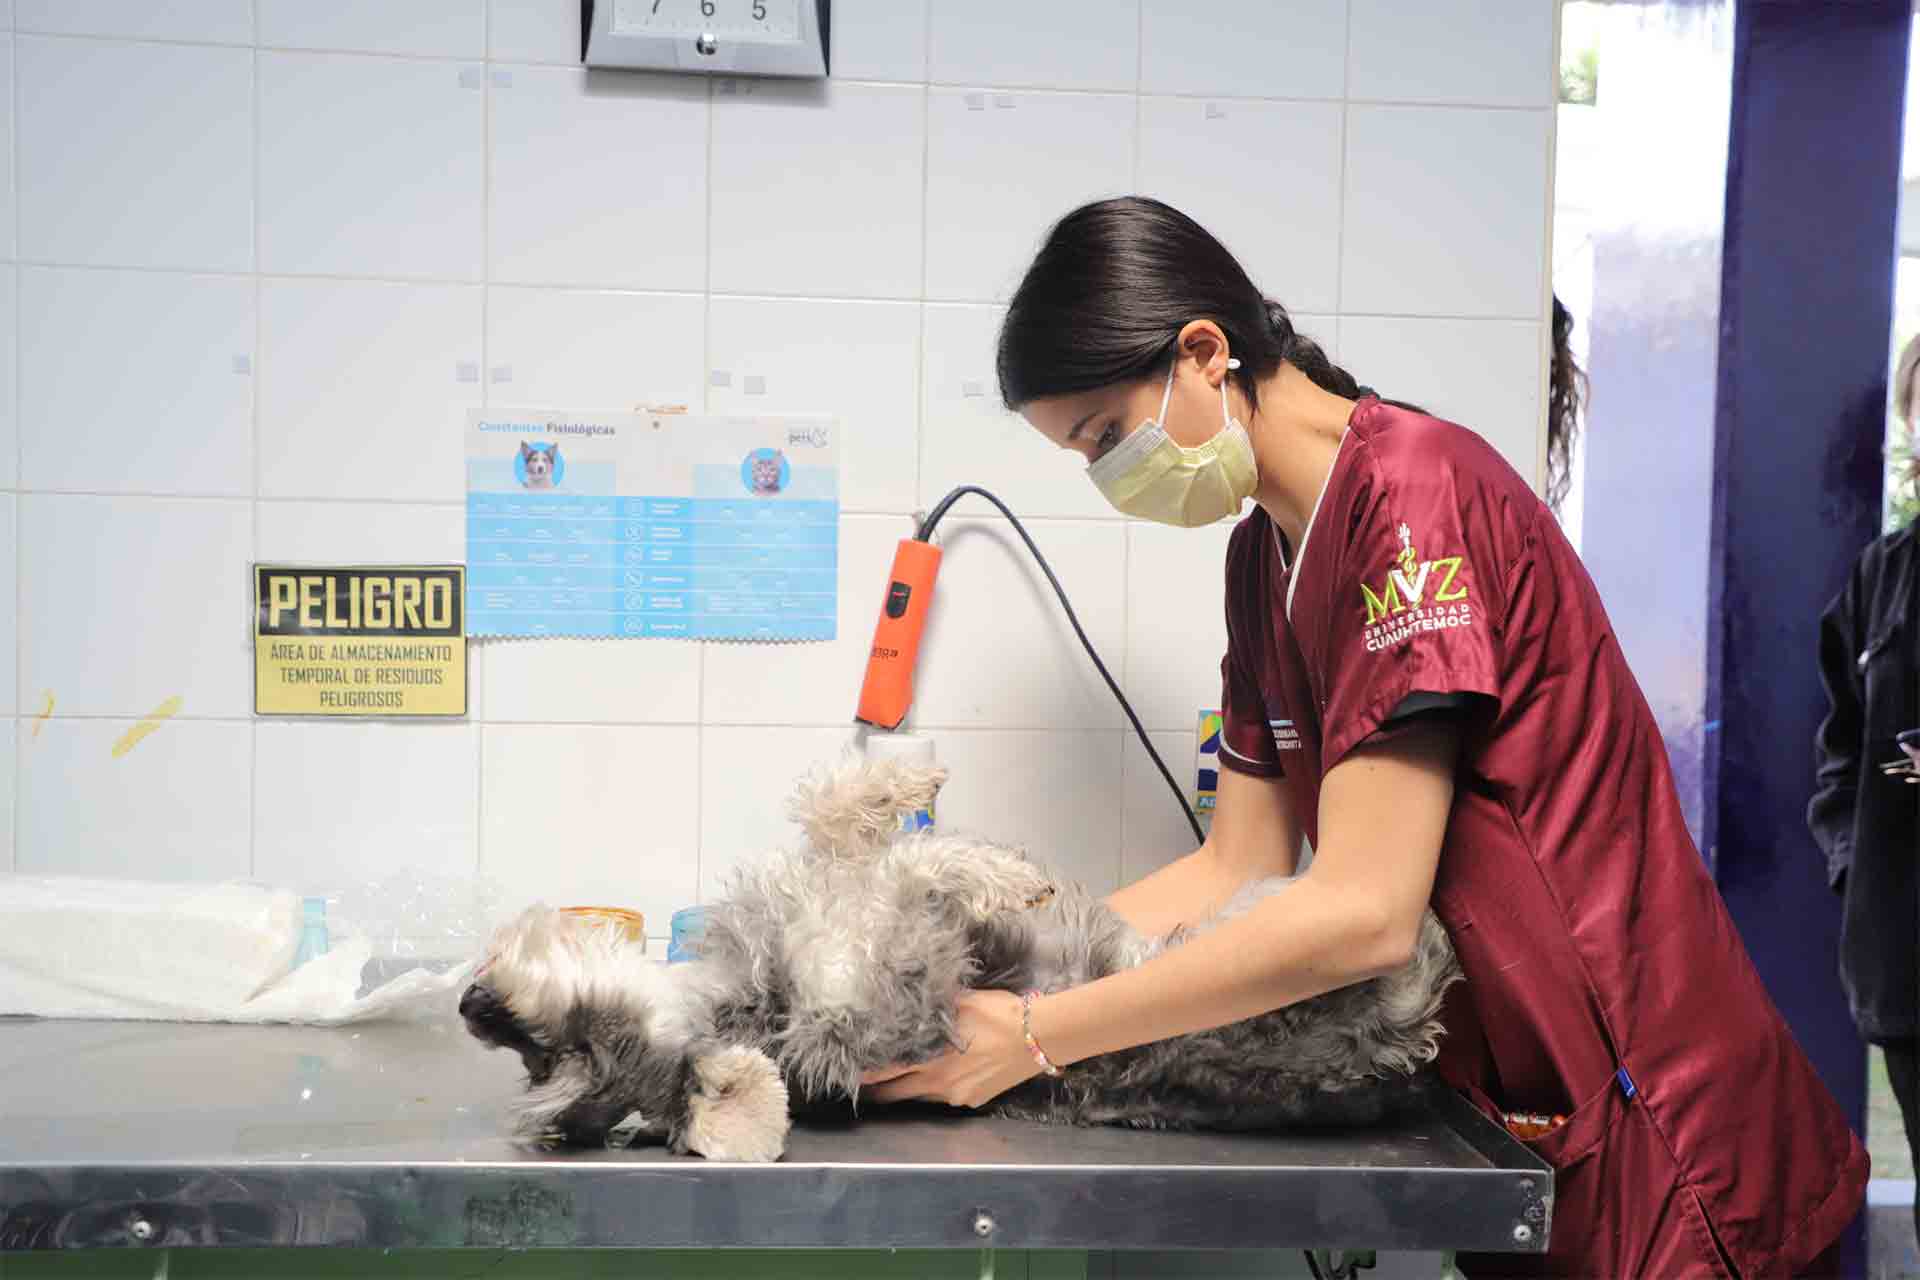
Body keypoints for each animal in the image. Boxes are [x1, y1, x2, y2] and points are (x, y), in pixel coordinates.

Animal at [460, 756, 1451, 1166]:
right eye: (570, 1062)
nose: (475, 1007)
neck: (748, 992)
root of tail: (1390, 1051)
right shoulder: (897, 966)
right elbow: (924, 875)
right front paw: (1004, 876)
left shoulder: (835, 887)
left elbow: (838, 811)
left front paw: (911, 788)